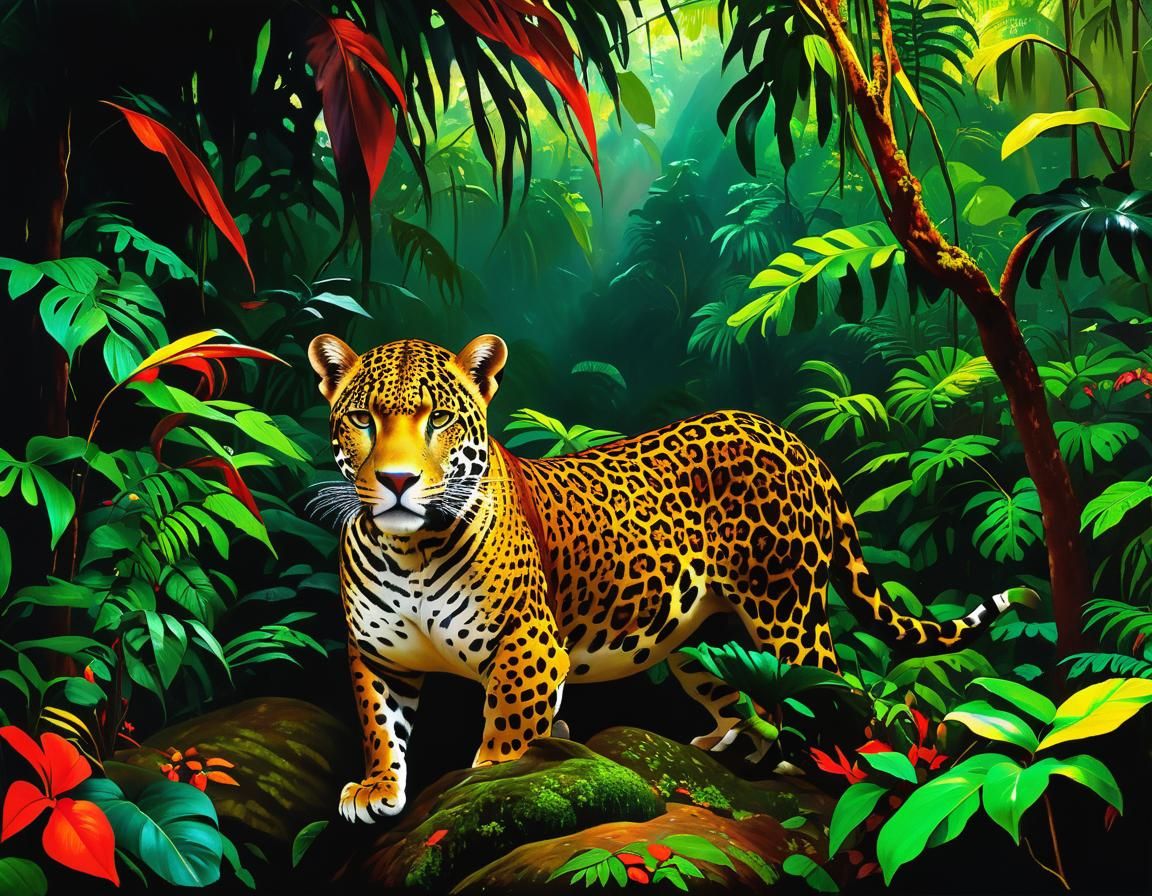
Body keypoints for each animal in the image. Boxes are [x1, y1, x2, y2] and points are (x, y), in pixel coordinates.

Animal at [308, 333, 1025, 823]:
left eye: (440, 419)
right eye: (363, 419)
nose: (397, 481)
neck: (412, 551)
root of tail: (792, 437)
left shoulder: (529, 648)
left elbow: (508, 733)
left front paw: (485, 782)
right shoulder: (377, 654)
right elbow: (381, 725)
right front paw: (377, 788)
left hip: (788, 610)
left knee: (832, 689)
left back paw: (844, 770)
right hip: (705, 641)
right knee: (745, 694)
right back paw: (729, 744)